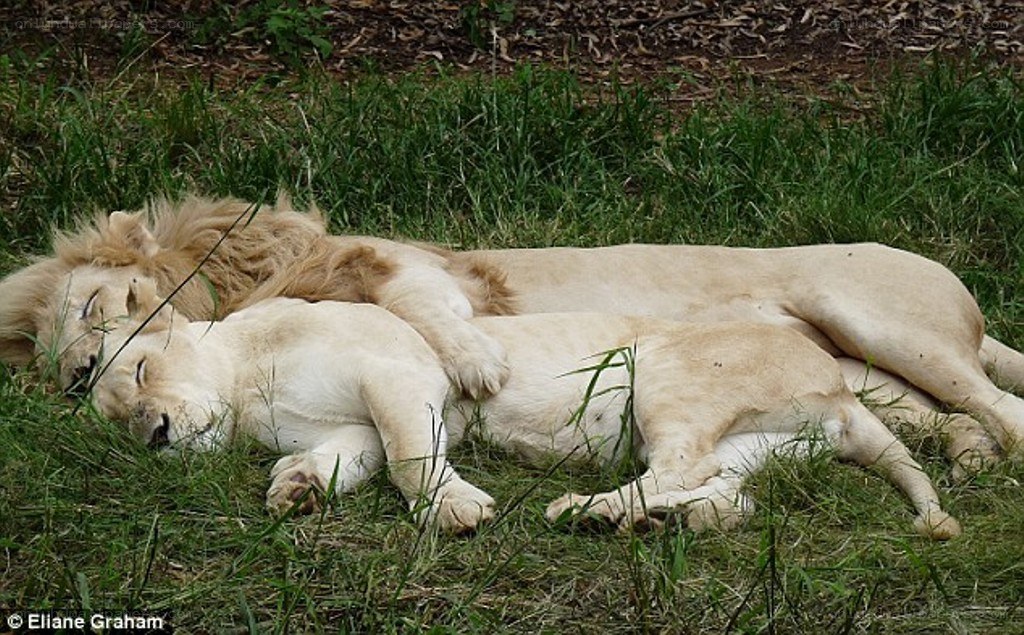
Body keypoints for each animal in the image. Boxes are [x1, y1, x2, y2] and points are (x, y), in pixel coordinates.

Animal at [1, 195, 1021, 471]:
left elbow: (423, 303)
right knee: (938, 415)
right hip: (869, 367)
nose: (83, 368)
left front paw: (476, 363)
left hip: (878, 320)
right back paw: (964, 453)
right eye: (69, 370)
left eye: (99, 303)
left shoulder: (414, 265)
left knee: (1000, 405)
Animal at [85, 278, 961, 540]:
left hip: (662, 369)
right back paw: (636, 520)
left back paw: (580, 509)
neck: (243, 385)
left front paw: (456, 510)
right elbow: (348, 459)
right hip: (763, 444)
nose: (157, 433)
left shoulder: (397, 369)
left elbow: (410, 454)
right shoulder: (348, 425)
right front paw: (295, 489)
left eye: (142, 368)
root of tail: (841, 392)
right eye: (122, 419)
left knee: (681, 463)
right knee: (723, 493)